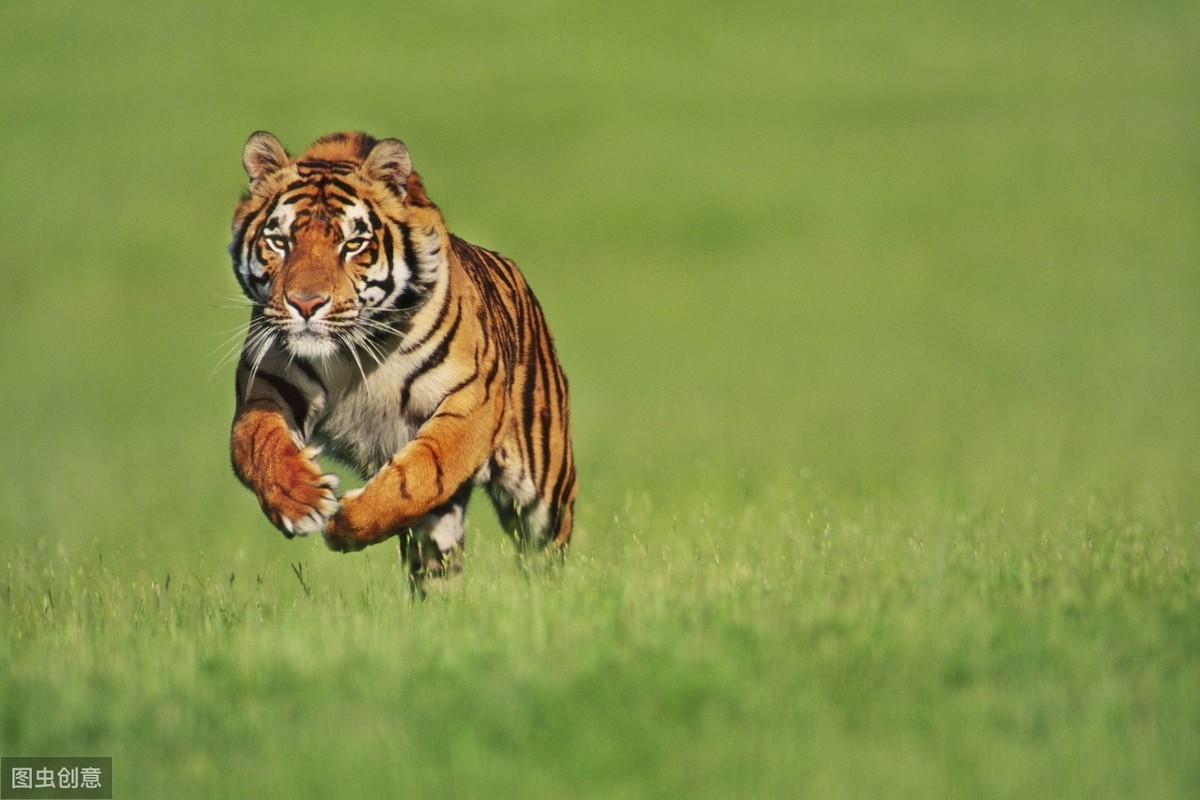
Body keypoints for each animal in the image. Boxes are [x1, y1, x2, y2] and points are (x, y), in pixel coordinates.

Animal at [230, 131, 580, 592]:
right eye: (280, 242)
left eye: (352, 245)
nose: (305, 304)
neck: (352, 352)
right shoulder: (266, 384)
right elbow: (258, 444)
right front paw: (299, 499)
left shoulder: (469, 401)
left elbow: (420, 473)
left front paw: (345, 523)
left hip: (545, 487)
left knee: (546, 549)